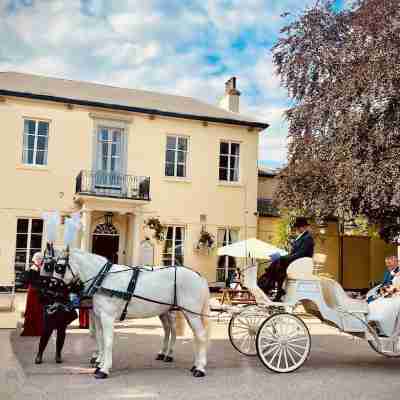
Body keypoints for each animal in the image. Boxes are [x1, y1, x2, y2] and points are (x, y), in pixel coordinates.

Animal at [66, 250, 211, 378]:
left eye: (60, 266)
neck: (104, 278)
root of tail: (199, 276)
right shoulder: (97, 314)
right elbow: (98, 336)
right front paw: (99, 362)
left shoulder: (106, 316)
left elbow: (106, 340)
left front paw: (103, 368)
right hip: (179, 313)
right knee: (180, 332)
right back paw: (188, 362)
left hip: (190, 314)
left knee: (198, 335)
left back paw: (199, 368)